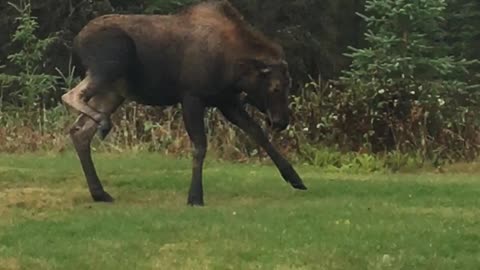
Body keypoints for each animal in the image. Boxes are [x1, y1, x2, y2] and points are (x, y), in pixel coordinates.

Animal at [62, 0, 308, 206]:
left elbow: (258, 134)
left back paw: (100, 192)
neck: (235, 70)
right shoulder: (192, 97)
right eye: (275, 87)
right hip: (112, 63)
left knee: (80, 131)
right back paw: (103, 126)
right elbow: (200, 146)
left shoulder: (227, 102)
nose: (281, 121)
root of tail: (76, 41)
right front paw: (195, 196)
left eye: (289, 85)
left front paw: (294, 178)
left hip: (114, 91)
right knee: (71, 96)